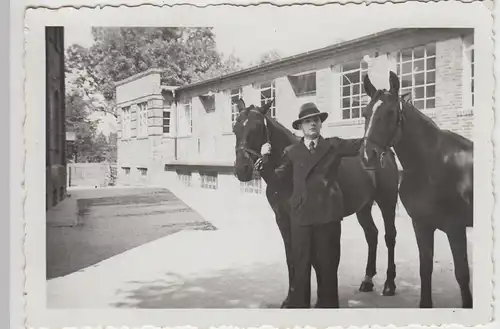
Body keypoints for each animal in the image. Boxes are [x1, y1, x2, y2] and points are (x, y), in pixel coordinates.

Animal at [232, 96, 400, 304]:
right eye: (235, 128)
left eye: (256, 127)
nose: (242, 169)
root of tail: (384, 152)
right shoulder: (283, 219)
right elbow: (292, 256)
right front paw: (291, 298)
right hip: (363, 206)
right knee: (372, 234)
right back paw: (367, 281)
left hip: (387, 202)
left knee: (389, 237)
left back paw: (389, 285)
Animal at [360, 71, 472, 308]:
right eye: (365, 113)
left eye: (391, 113)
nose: (367, 156)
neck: (432, 164)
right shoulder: (421, 225)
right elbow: (425, 269)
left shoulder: (456, 227)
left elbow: (462, 274)